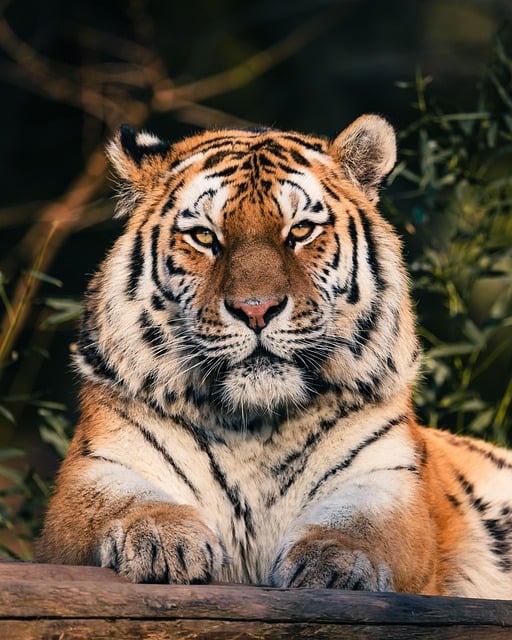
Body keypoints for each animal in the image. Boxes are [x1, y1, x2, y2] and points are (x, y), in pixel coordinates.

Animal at [36, 115, 512, 599]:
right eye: (204, 237)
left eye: (300, 231)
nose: (256, 309)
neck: (254, 423)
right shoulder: (99, 467)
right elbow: (122, 502)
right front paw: (159, 538)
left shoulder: (386, 479)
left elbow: (363, 526)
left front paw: (334, 562)